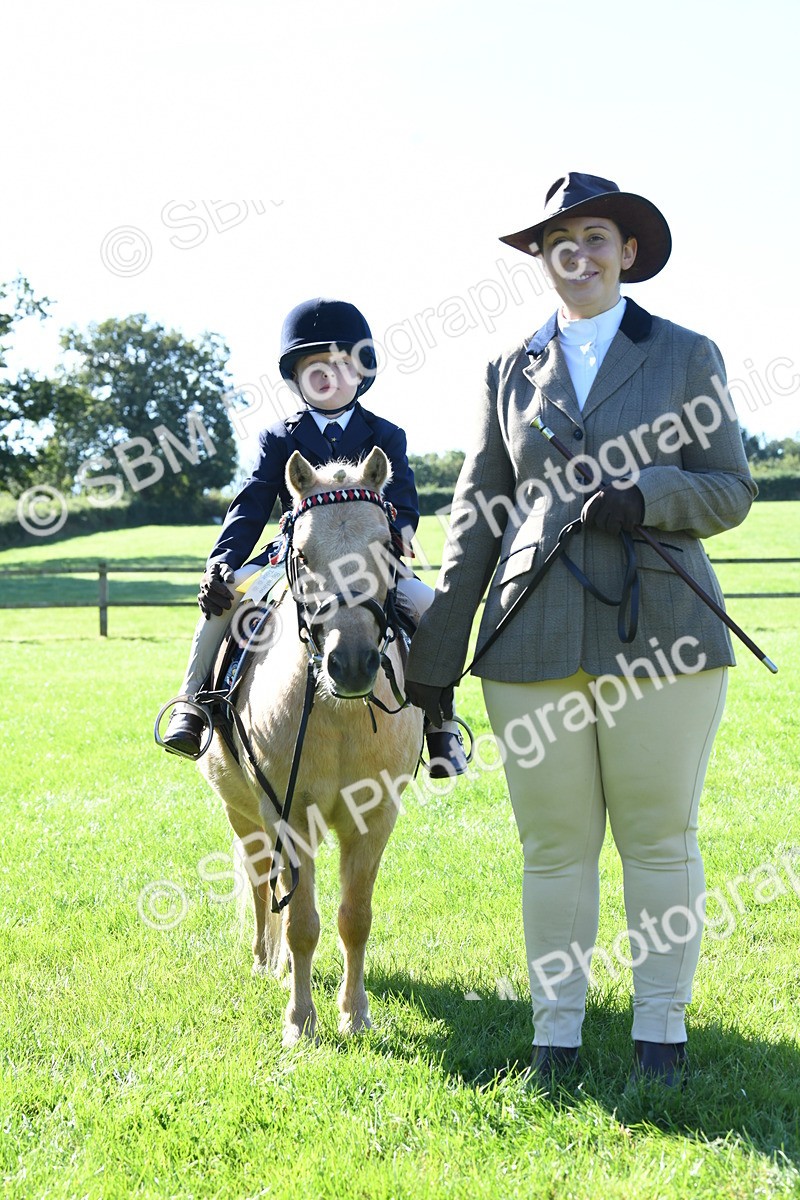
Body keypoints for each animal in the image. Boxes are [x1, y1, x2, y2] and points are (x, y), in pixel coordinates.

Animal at [198, 446, 423, 1046]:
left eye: (387, 545)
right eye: (301, 552)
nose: (352, 663)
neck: (338, 713)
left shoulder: (374, 817)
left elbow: (354, 918)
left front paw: (355, 1014)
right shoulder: (287, 813)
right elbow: (301, 923)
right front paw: (300, 1021)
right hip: (243, 812)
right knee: (262, 883)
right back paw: (264, 962)